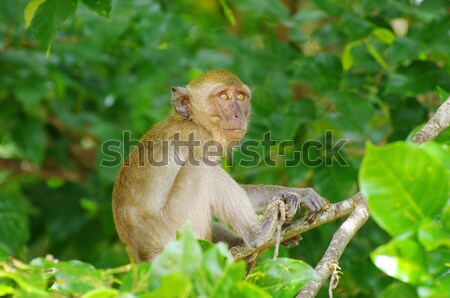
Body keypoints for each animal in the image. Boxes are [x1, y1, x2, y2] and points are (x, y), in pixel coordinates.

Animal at [112, 69, 324, 260]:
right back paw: (257, 234)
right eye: (223, 96)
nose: (238, 115)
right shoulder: (198, 139)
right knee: (202, 168)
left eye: (240, 97)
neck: (194, 121)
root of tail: (144, 257)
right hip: (178, 232)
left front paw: (297, 194)